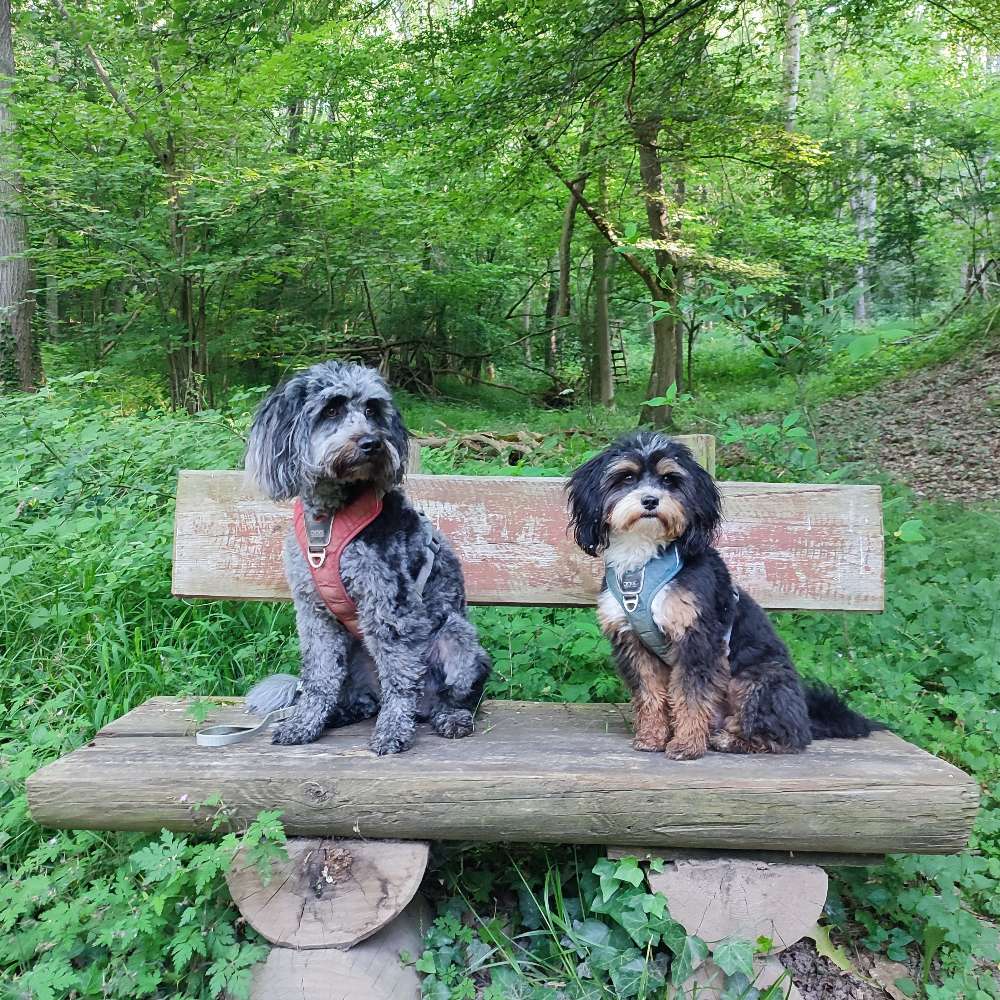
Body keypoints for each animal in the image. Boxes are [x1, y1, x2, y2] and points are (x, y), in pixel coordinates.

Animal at [244, 360, 490, 752]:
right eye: (331, 409)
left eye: (373, 410)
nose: (371, 443)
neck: (330, 519)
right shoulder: (314, 615)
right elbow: (318, 677)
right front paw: (305, 724)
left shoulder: (389, 605)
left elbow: (400, 678)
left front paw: (392, 731)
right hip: (357, 653)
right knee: (362, 697)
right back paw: (342, 712)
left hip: (457, 637)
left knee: (456, 696)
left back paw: (450, 717)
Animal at [568, 430, 880, 756]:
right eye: (627, 477)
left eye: (669, 480)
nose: (651, 500)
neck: (644, 561)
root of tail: (807, 717)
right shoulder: (633, 642)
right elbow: (649, 693)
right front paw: (652, 737)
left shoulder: (697, 637)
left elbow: (691, 696)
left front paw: (687, 744)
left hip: (756, 679)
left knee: (787, 736)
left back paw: (731, 739)